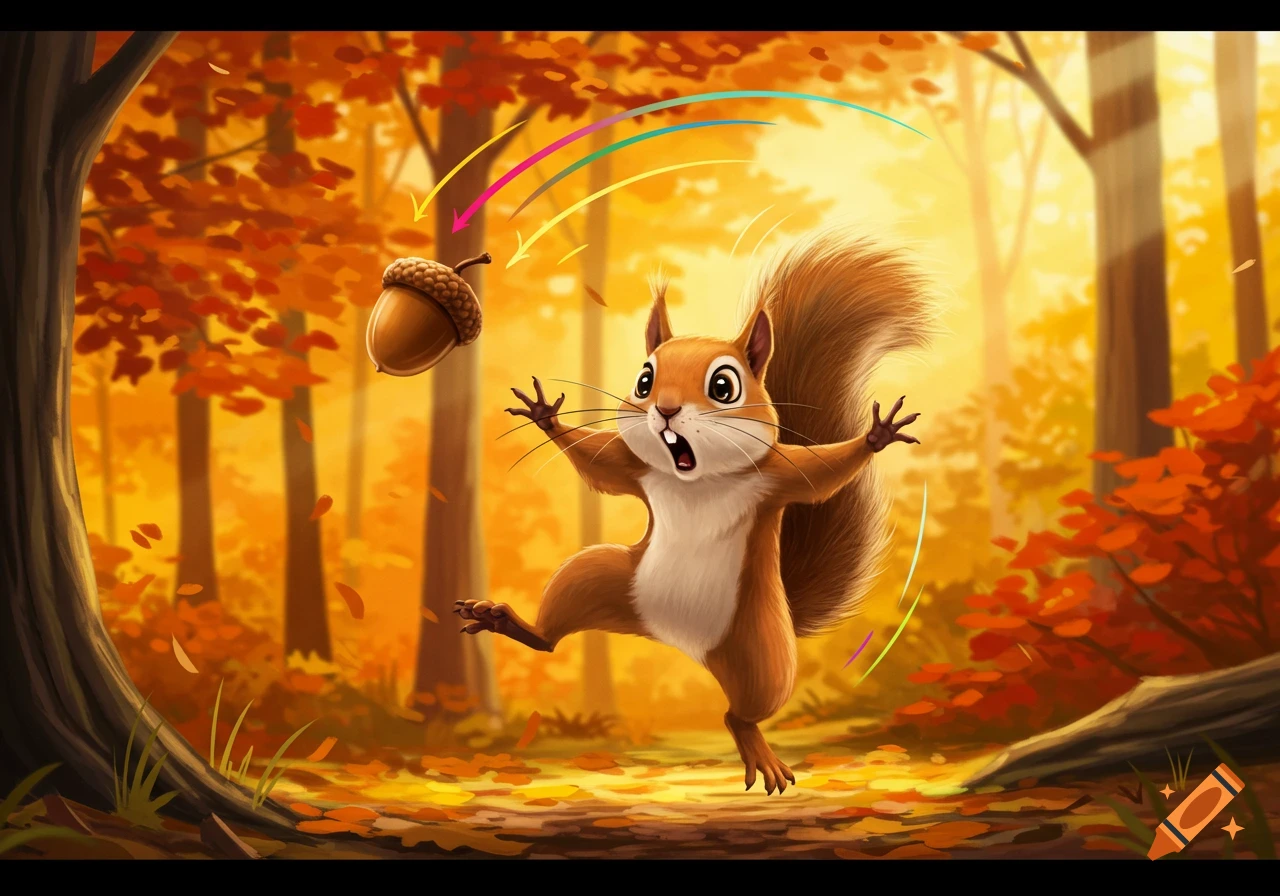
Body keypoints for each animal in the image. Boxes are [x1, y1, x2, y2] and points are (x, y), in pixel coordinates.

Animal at [457, 226, 937, 794]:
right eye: (644, 381)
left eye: (723, 386)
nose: (664, 408)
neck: (696, 478)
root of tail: (679, 642)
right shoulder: (635, 470)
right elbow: (600, 464)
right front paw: (545, 416)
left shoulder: (779, 476)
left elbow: (823, 473)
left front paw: (876, 435)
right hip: (597, 580)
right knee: (551, 635)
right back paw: (504, 620)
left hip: (760, 650)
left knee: (741, 712)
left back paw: (758, 750)